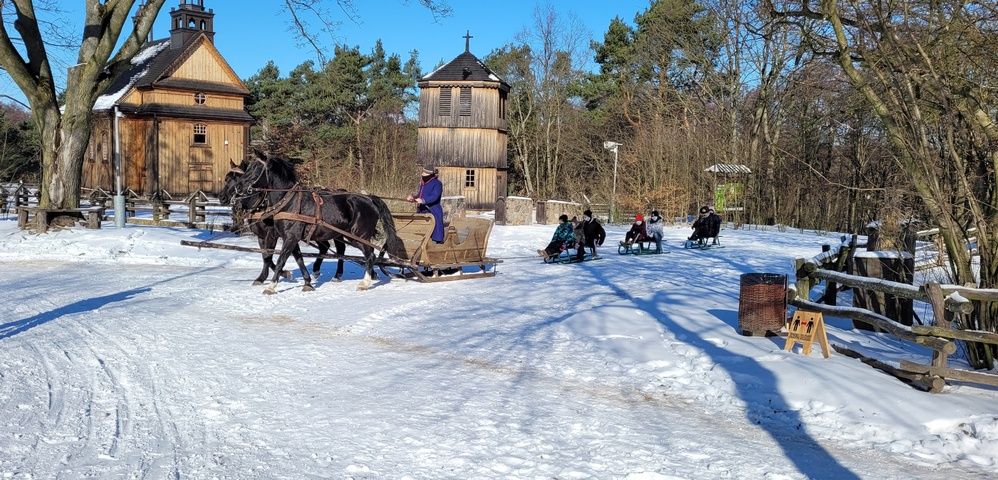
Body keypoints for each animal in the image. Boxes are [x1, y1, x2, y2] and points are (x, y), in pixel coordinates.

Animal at [223, 156, 402, 294]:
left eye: (255, 171)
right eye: (228, 178)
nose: (236, 189)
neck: (290, 203)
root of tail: (369, 198)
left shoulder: (284, 237)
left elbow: (278, 259)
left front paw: (272, 285)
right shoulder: (290, 237)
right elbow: (297, 259)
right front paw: (307, 282)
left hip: (358, 235)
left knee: (369, 255)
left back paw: (365, 282)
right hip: (344, 235)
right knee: (351, 252)